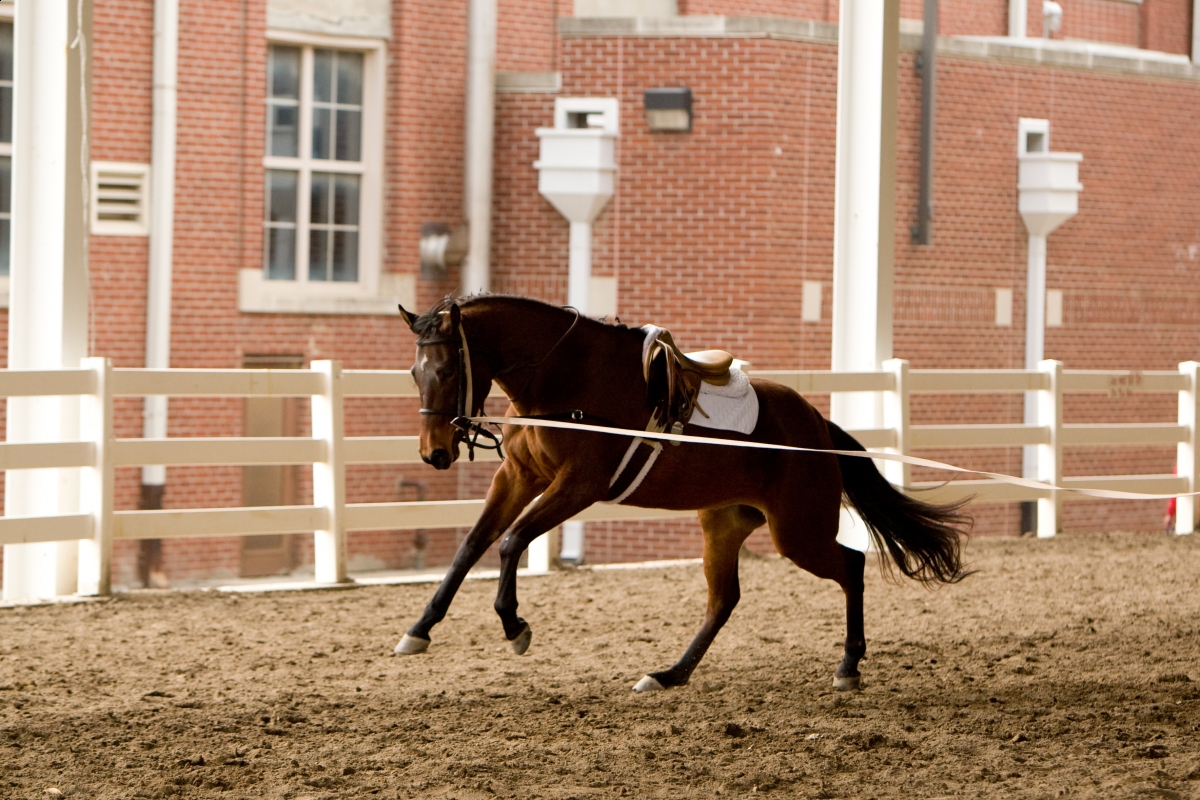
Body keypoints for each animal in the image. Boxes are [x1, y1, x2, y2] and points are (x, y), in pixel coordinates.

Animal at [393, 294, 971, 692]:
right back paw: (670, 674)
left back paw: (848, 666)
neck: (565, 378)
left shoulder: (578, 485)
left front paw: (514, 625)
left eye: (447, 369)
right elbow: (472, 545)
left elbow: (512, 541)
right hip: (724, 521)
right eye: (414, 372)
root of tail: (816, 425)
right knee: (723, 600)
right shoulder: (518, 476)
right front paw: (419, 629)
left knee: (851, 566)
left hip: (797, 531)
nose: (433, 452)